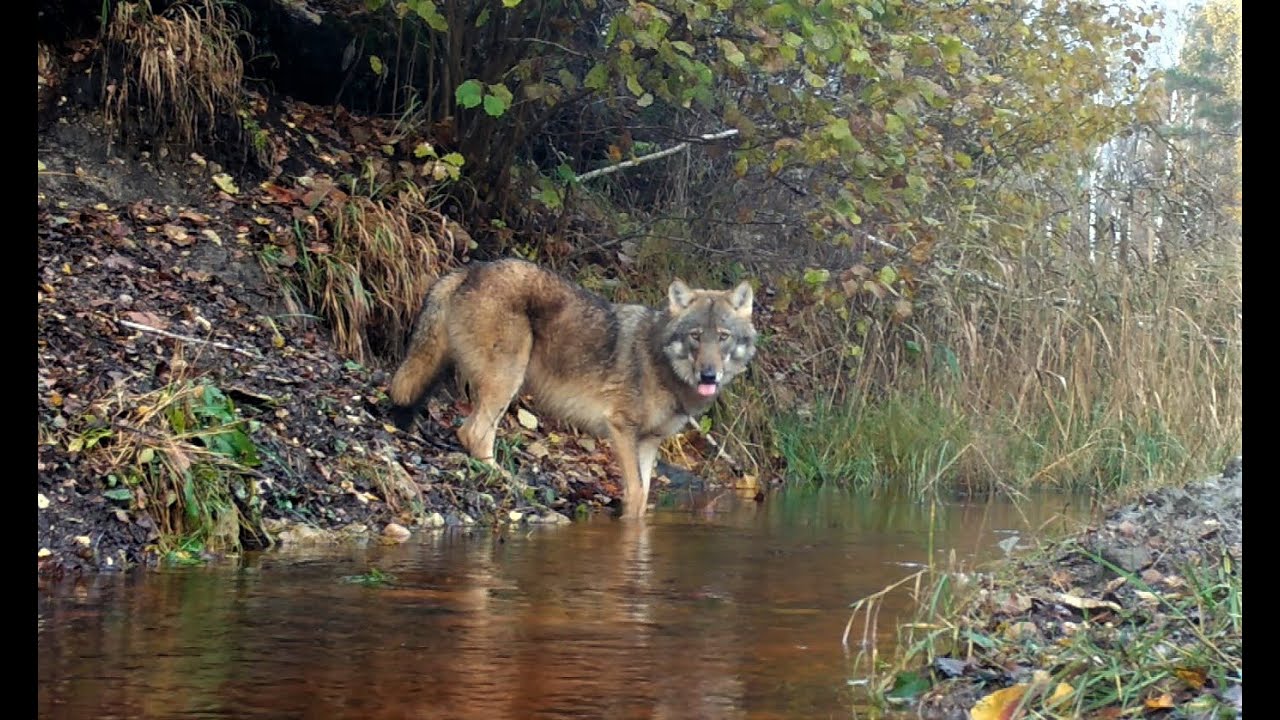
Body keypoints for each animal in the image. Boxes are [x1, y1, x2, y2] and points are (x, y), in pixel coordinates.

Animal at [388, 258, 758, 518]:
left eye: (723, 337)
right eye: (696, 336)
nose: (709, 376)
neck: (663, 366)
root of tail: (469, 269)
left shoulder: (649, 442)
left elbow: (644, 496)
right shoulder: (621, 429)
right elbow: (637, 493)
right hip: (507, 380)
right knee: (473, 434)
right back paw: (511, 481)